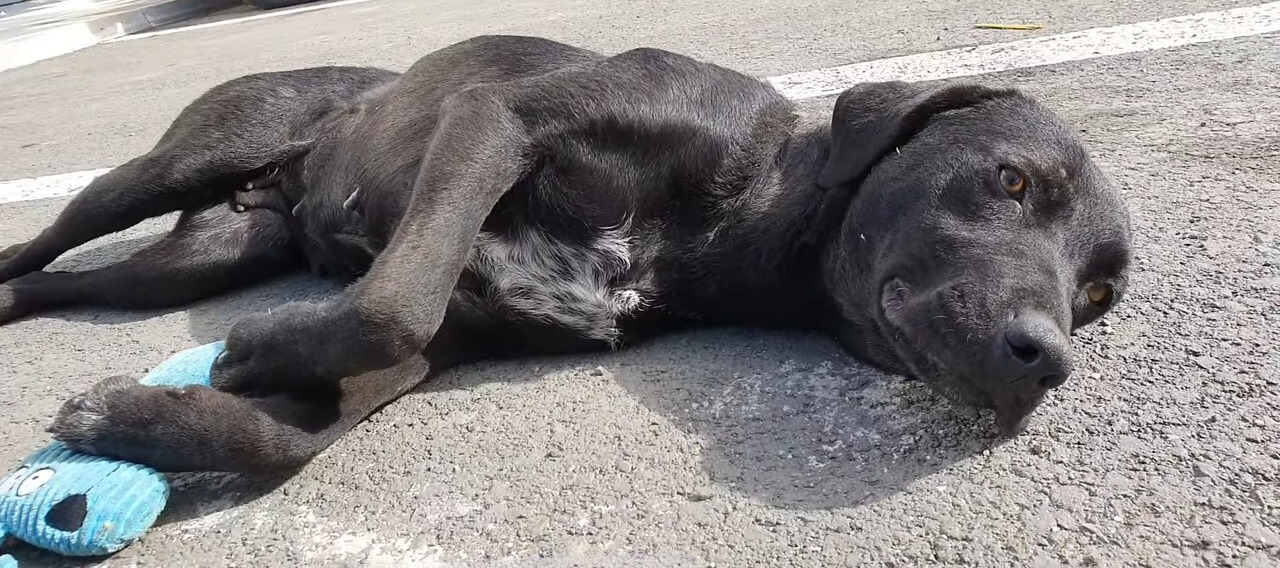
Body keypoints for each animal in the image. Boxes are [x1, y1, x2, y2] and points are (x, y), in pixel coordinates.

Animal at [0, 35, 1131, 475]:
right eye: (1010, 181)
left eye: (1098, 293)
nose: (1047, 359)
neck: (731, 214)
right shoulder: (494, 122)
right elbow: (390, 301)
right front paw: (253, 348)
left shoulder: (457, 333)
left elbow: (294, 431)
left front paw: (138, 416)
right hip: (177, 162)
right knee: (40, 242)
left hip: (206, 253)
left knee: (74, 278)